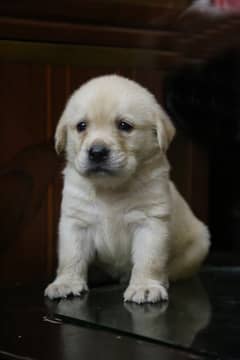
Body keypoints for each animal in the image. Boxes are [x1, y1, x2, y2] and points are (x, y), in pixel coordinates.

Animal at [45, 76, 210, 304]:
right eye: (81, 126)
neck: (111, 188)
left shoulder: (150, 223)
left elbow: (149, 260)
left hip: (199, 244)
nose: (97, 152)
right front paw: (66, 282)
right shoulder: (75, 222)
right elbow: (71, 256)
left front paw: (145, 286)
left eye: (124, 126)